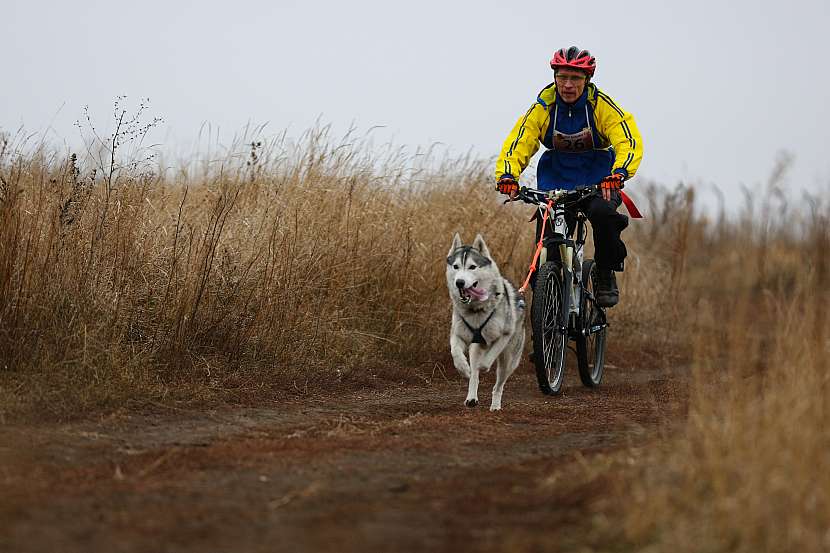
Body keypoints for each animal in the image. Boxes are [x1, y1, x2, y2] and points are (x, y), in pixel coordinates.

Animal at [448, 233, 528, 410]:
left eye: (472, 267)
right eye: (456, 266)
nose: (459, 282)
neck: (476, 310)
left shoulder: (504, 335)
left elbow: (488, 359)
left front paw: (483, 364)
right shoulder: (458, 334)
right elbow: (455, 352)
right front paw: (463, 368)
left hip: (509, 361)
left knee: (498, 385)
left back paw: (495, 405)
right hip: (475, 348)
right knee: (475, 375)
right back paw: (471, 397)